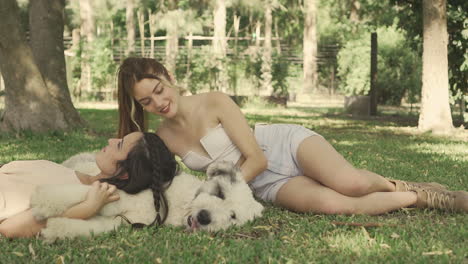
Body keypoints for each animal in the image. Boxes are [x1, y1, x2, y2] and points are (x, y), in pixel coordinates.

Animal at [32, 153, 264, 241]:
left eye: (233, 216)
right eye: (220, 193)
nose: (205, 217)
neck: (180, 204)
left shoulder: (123, 220)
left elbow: (93, 225)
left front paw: (54, 229)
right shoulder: (120, 194)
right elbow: (81, 193)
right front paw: (42, 202)